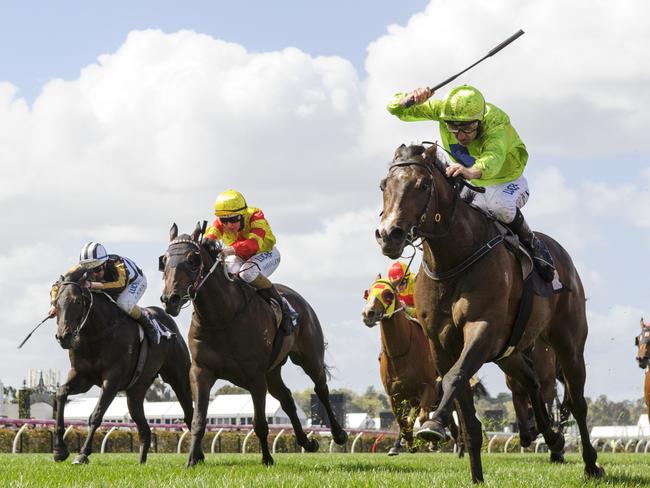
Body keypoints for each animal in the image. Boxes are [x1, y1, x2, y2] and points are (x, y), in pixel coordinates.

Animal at [51, 266, 192, 466]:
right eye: (56, 302)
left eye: (77, 301)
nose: (64, 337)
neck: (97, 333)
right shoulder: (82, 376)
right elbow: (61, 393)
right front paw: (59, 451)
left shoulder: (112, 380)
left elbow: (96, 415)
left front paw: (82, 454)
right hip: (135, 392)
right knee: (144, 429)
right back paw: (141, 462)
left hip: (178, 378)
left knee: (189, 413)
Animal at [159, 223, 346, 468]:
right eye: (164, 260)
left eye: (193, 259)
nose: (169, 299)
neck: (222, 317)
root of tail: (300, 300)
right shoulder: (201, 371)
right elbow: (198, 419)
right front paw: (192, 460)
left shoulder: (255, 376)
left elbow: (260, 423)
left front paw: (267, 459)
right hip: (272, 372)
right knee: (286, 398)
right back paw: (307, 442)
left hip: (308, 357)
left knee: (321, 389)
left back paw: (339, 434)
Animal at [374, 143, 604, 482]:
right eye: (384, 185)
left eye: (423, 185)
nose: (389, 234)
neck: (455, 259)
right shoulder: (440, 343)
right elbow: (462, 406)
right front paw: (476, 475)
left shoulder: (482, 328)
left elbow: (456, 377)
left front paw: (433, 425)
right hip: (509, 353)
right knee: (532, 384)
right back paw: (552, 439)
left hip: (569, 344)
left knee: (577, 401)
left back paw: (590, 463)